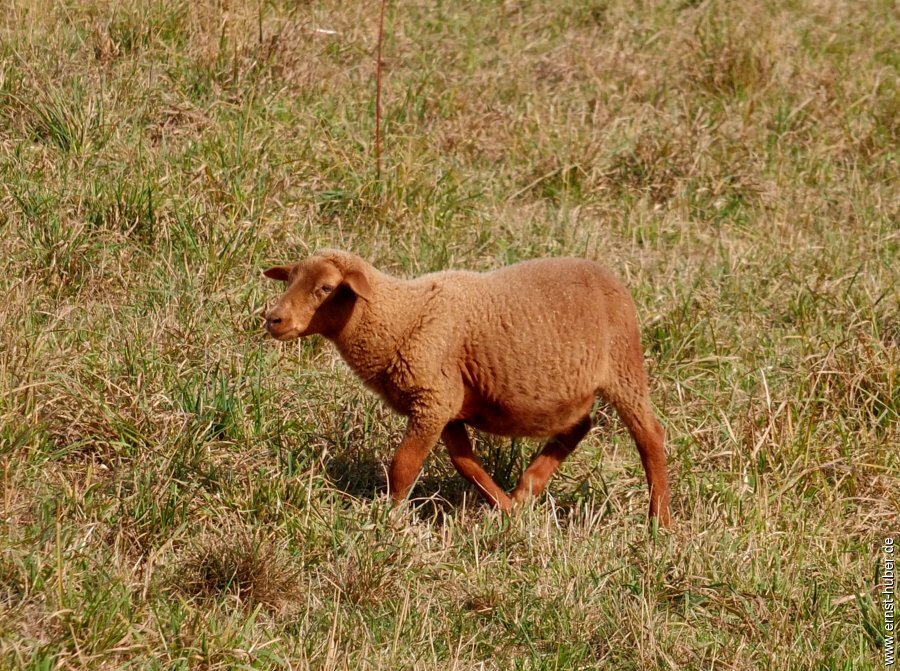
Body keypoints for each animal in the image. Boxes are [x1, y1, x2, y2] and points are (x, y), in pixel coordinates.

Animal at [260, 249, 668, 528]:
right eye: (289, 280)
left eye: (326, 288)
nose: (273, 319)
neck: (400, 317)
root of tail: (610, 276)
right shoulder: (445, 405)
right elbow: (465, 462)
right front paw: (507, 510)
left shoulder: (432, 400)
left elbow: (404, 465)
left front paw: (389, 517)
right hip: (574, 392)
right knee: (580, 426)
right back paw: (527, 488)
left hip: (624, 366)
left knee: (649, 436)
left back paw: (658, 520)